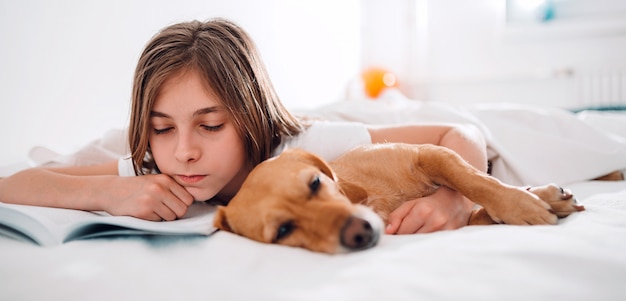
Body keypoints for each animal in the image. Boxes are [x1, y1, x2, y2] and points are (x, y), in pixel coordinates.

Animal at [212, 143, 584, 253]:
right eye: (283, 231)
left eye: (315, 183)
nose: (358, 233)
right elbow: (481, 210)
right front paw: (521, 205)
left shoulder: (429, 154)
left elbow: (476, 181)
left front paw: (520, 203)